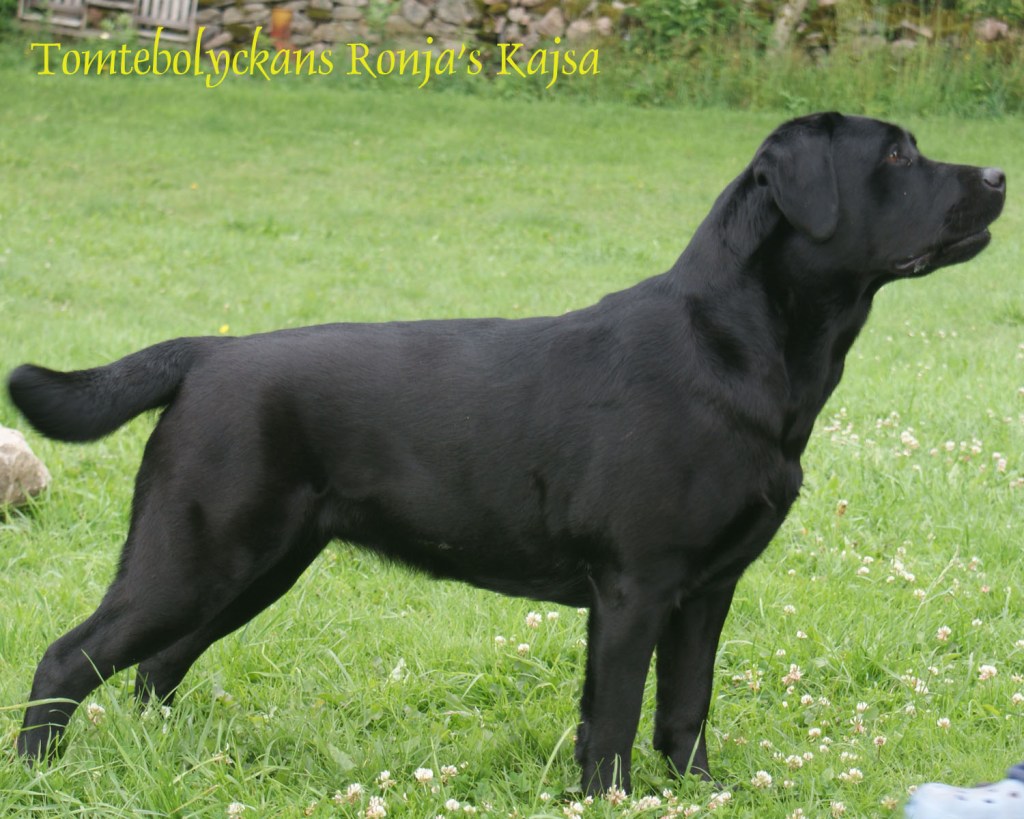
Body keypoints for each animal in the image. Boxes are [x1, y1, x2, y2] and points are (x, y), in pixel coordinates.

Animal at [8, 113, 1005, 794]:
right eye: (896, 156)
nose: (1000, 173)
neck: (736, 346)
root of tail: (206, 354)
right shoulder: (634, 585)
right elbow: (612, 719)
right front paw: (608, 800)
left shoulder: (706, 589)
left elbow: (685, 709)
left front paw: (701, 793)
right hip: (194, 556)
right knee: (69, 659)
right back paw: (39, 774)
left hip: (254, 566)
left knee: (155, 667)